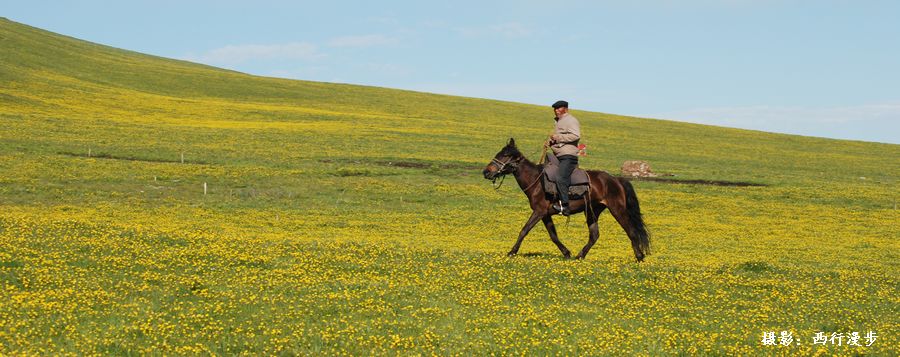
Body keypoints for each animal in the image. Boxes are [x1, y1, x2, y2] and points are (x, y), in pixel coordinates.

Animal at [482, 138, 652, 260]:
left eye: (505, 155)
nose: (486, 172)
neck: (536, 181)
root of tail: (616, 179)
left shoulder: (539, 212)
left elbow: (524, 230)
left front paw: (512, 252)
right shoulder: (545, 214)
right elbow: (553, 236)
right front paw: (566, 253)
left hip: (617, 209)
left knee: (631, 230)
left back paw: (639, 257)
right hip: (592, 212)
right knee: (594, 235)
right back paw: (580, 256)